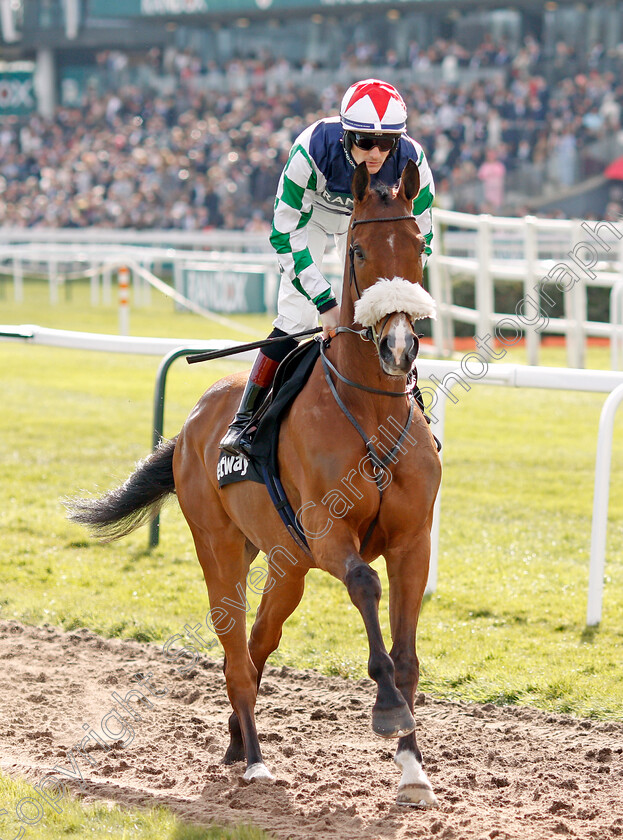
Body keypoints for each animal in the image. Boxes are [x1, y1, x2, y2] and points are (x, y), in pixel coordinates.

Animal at [68, 159, 444, 808]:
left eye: (418, 245)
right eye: (359, 250)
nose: (398, 346)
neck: (369, 411)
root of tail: (191, 423)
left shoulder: (411, 542)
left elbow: (407, 655)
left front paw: (413, 770)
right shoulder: (328, 531)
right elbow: (365, 587)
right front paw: (388, 709)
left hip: (284, 563)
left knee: (258, 642)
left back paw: (235, 740)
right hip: (220, 548)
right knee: (235, 654)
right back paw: (255, 761)